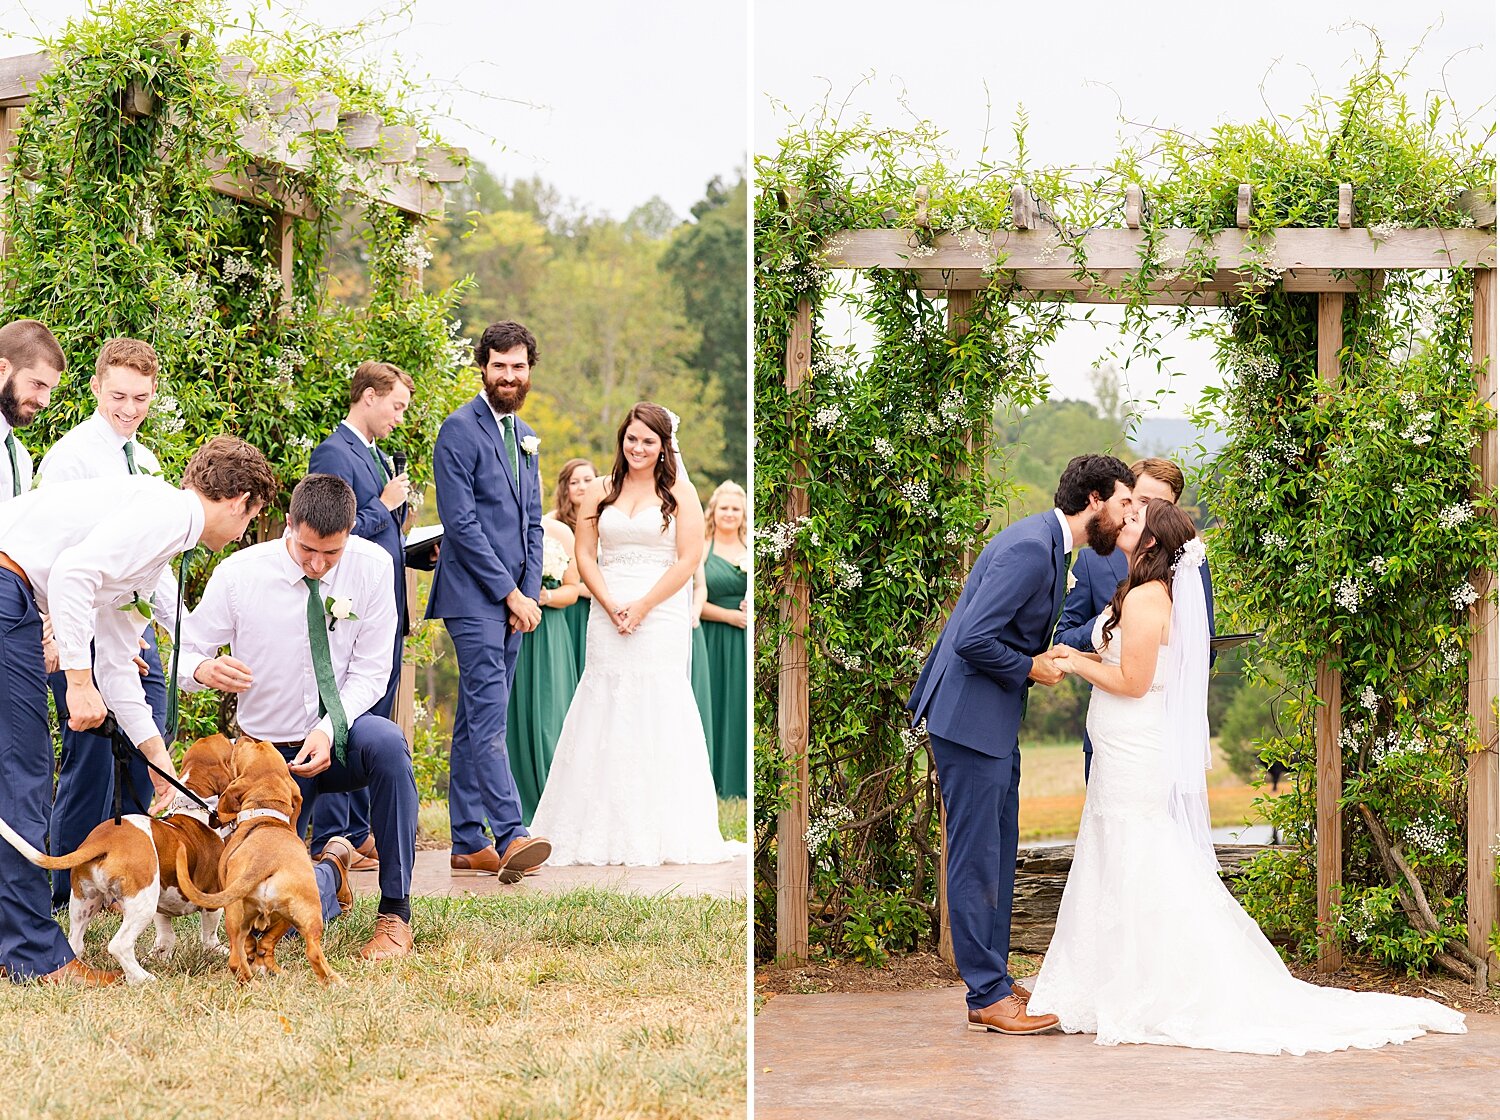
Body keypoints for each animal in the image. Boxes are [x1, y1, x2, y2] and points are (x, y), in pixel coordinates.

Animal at [0, 734, 237, 983]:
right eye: (228, 745)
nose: (235, 738)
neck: (193, 808)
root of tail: (102, 840)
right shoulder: (212, 899)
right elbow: (209, 936)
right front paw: (221, 951)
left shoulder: (162, 906)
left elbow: (165, 936)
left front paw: (160, 956)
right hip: (142, 902)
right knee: (119, 945)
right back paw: (142, 977)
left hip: (85, 901)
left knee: (75, 943)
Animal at [174, 740, 339, 983]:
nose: (246, 739)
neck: (266, 814)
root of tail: (264, 861)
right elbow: (264, 944)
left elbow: (251, 945)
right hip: (302, 915)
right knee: (310, 951)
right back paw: (332, 981)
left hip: (237, 917)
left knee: (237, 958)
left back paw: (252, 983)